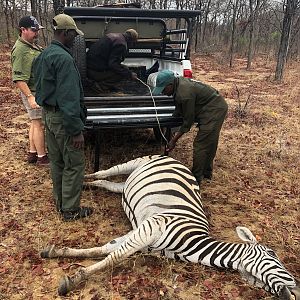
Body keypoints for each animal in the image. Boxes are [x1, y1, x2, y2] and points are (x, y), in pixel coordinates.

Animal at [40, 156, 300, 298]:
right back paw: (79, 177)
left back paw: (86, 184)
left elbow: (105, 249)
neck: (191, 242)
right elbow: (114, 256)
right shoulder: (152, 227)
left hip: (126, 185)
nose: (296, 291)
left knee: (106, 182)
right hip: (136, 163)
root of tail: (176, 160)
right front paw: (74, 279)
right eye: (273, 254)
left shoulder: (142, 237)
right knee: (104, 171)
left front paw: (56, 252)